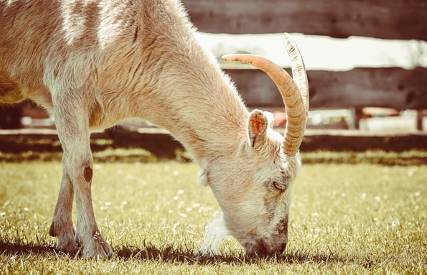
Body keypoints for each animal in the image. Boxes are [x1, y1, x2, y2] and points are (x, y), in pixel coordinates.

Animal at [0, 0, 308, 258]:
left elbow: (68, 163)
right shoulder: (69, 87)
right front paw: (96, 246)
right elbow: (82, 167)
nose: (277, 247)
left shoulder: (68, 105)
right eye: (278, 183)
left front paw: (64, 236)